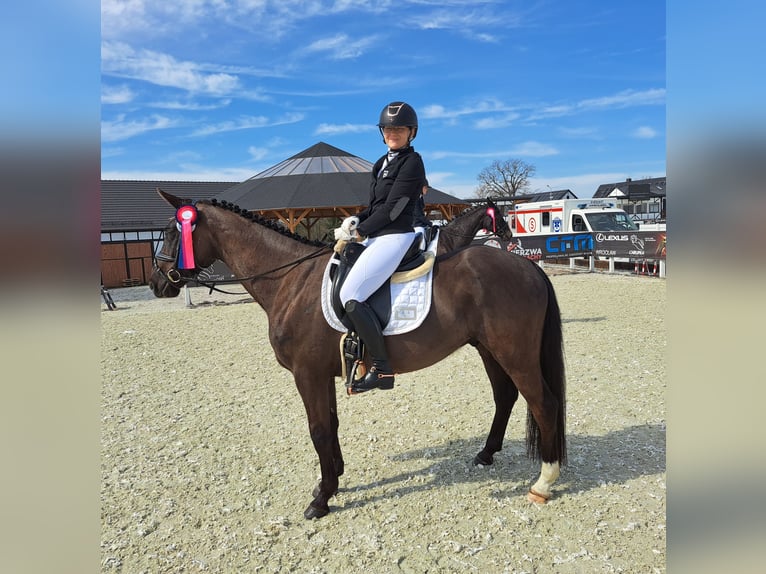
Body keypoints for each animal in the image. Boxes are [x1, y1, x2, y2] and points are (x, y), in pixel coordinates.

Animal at [149, 189, 566, 519]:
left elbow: (318, 429)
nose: (156, 283)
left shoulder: (307, 373)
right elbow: (330, 426)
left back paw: (543, 483)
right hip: (489, 350)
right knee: (506, 396)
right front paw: (333, 479)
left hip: (514, 353)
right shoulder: (322, 373)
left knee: (543, 403)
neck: (289, 281)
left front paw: (321, 499)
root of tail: (525, 266)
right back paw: (486, 454)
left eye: (169, 233)